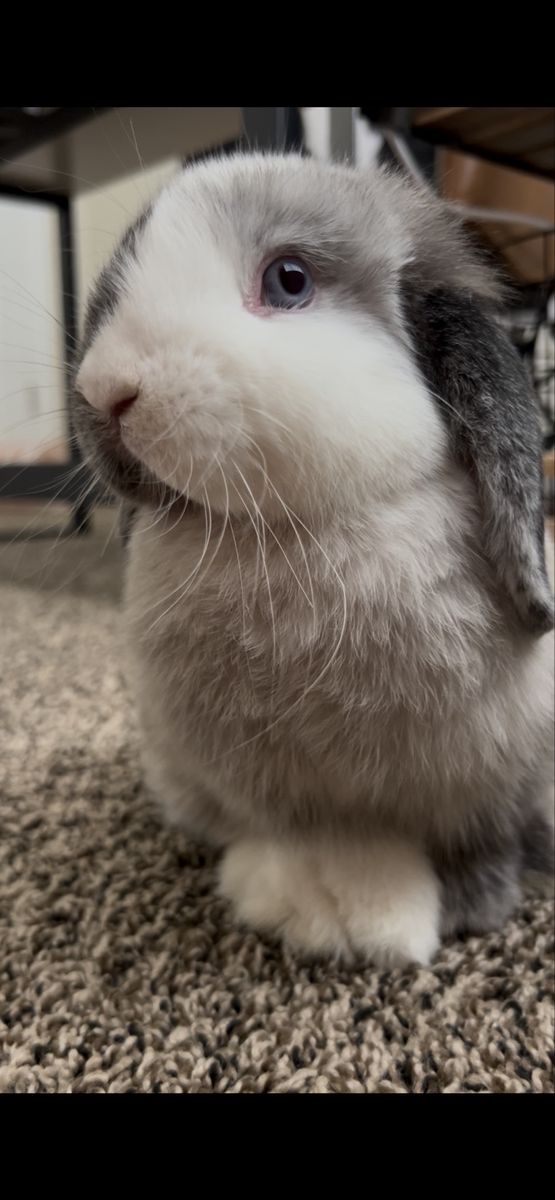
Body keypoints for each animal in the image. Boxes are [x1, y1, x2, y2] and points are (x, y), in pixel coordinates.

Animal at [74, 152, 554, 967]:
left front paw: (467, 906)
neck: (288, 535)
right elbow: (315, 843)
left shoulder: (490, 779)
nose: (107, 390)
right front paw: (329, 910)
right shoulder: (281, 793)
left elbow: (480, 835)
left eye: (289, 280)